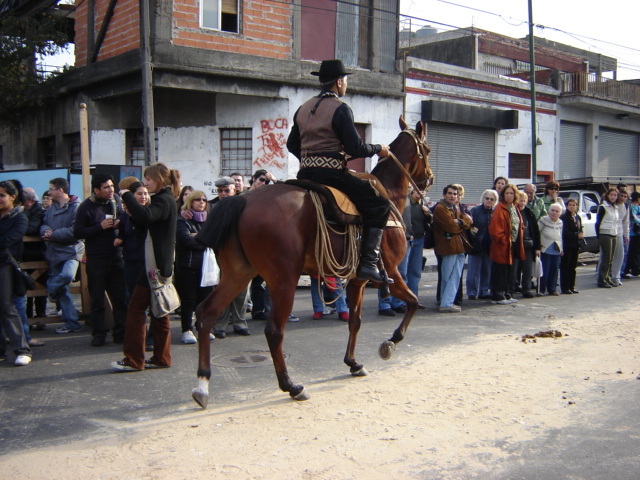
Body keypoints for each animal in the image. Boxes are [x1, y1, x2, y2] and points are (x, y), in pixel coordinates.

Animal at [192, 116, 432, 408]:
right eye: (427, 150)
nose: (430, 179)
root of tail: (241, 200)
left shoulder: (358, 280)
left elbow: (355, 321)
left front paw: (353, 363)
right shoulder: (393, 273)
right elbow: (413, 302)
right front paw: (391, 342)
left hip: (237, 274)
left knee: (206, 314)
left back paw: (202, 385)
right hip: (283, 280)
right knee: (274, 331)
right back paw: (291, 386)